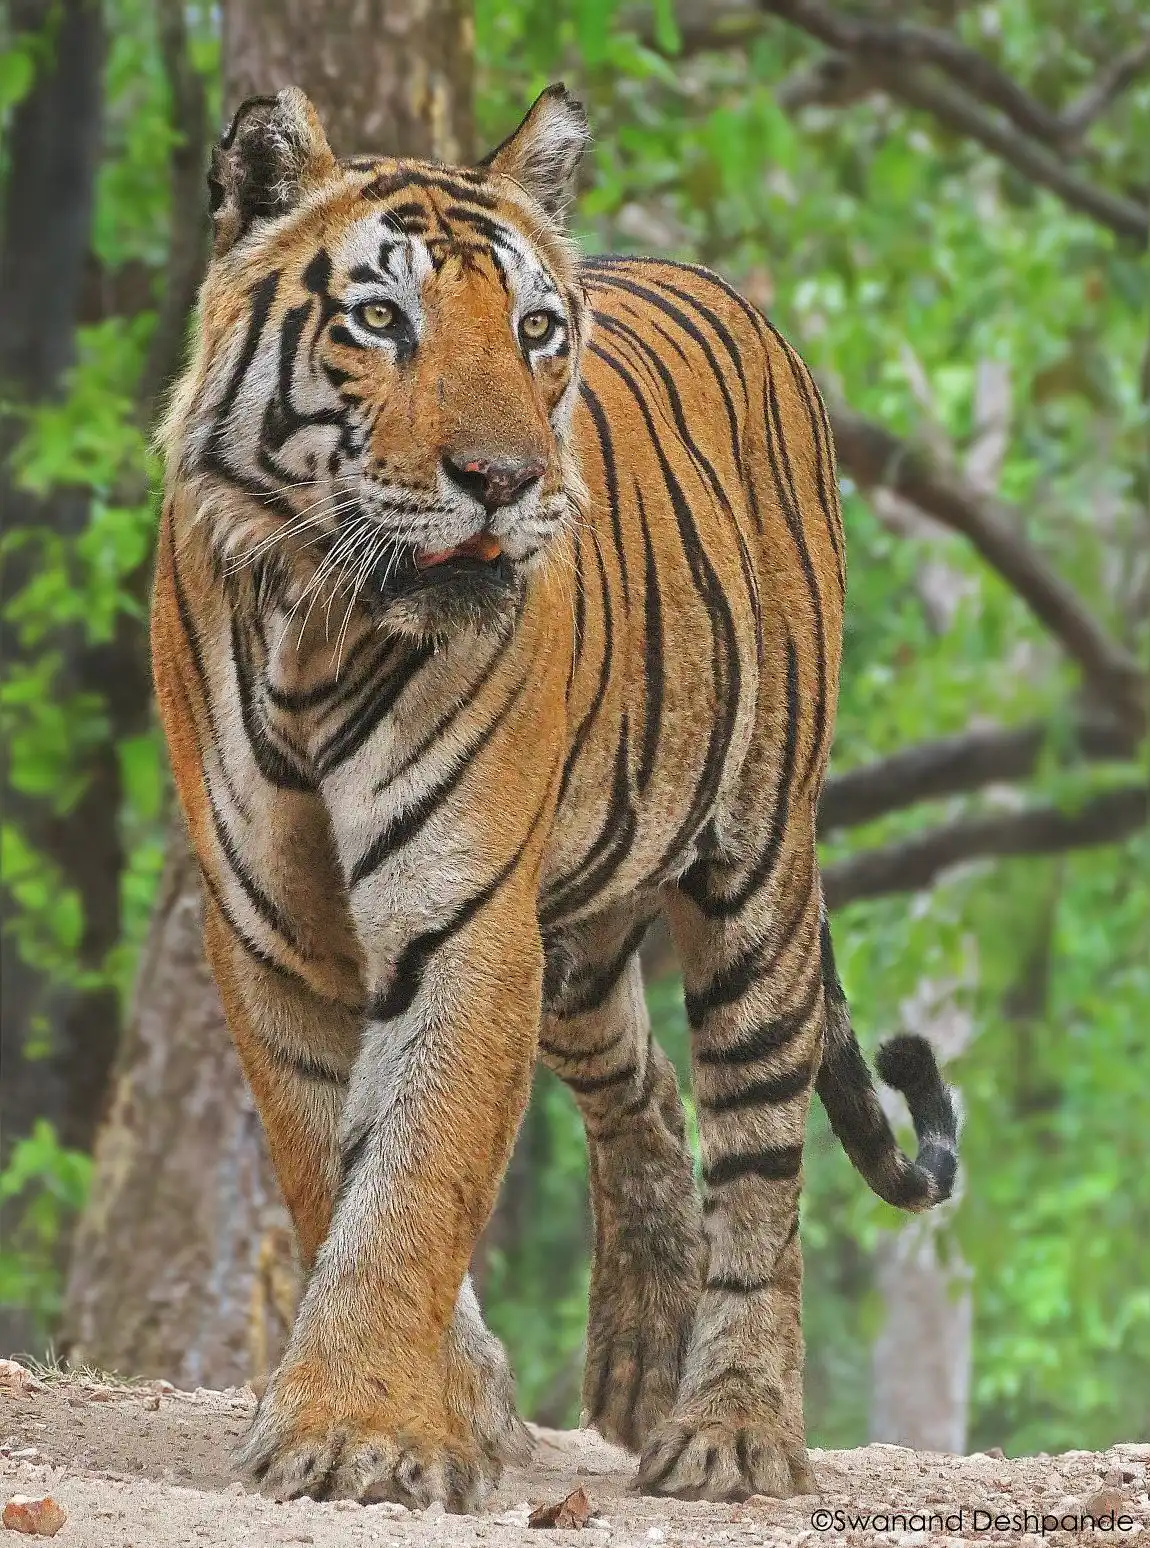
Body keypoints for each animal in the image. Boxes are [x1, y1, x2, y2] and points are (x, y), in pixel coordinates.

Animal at [151, 83, 959, 1511]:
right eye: (381, 320)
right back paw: (637, 1362)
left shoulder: (462, 917)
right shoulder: (269, 931)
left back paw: (731, 1429)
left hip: (755, 878)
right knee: (643, 1095)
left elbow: (412, 1179)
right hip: (578, 943)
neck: (317, 625)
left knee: (758, 1163)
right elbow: (337, 1168)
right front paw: (445, 1410)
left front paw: (354, 1431)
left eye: (533, 331)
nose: (505, 480)